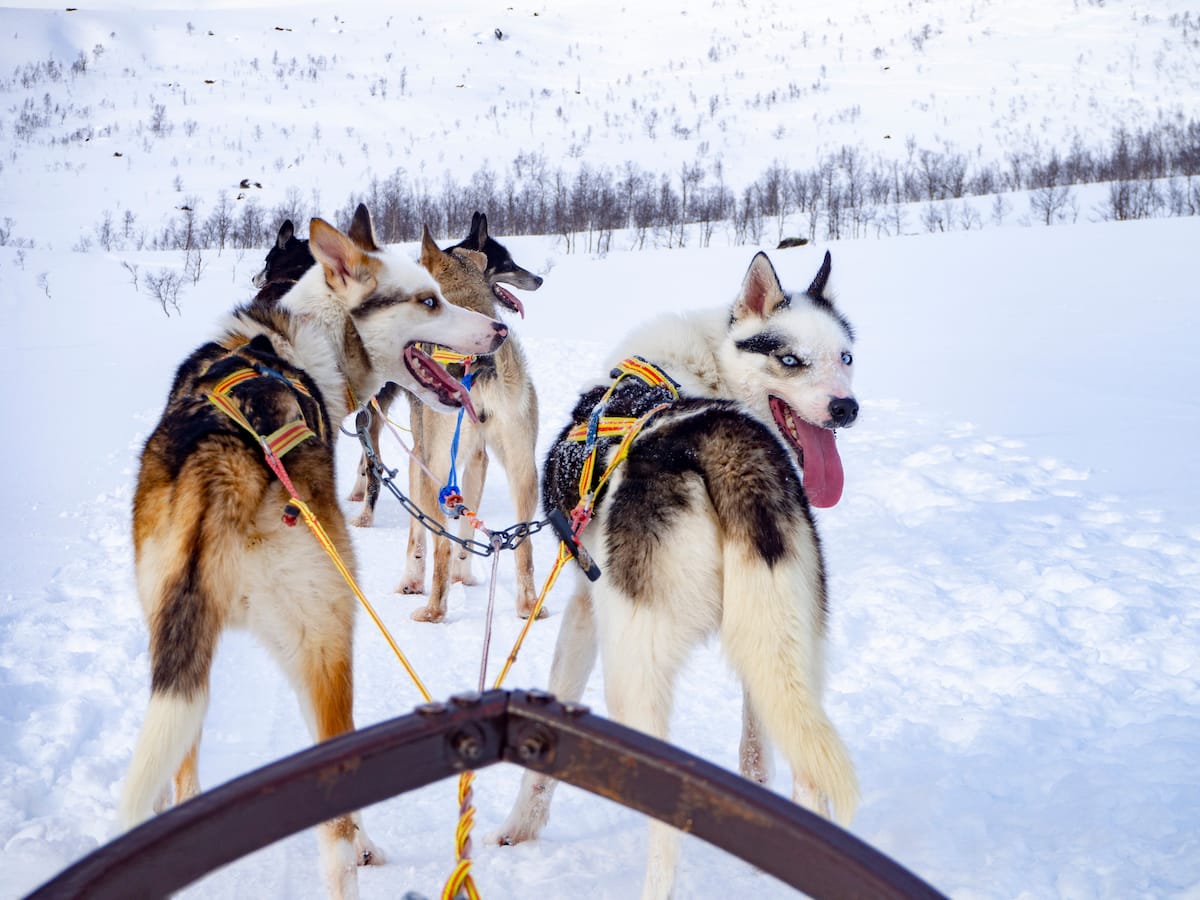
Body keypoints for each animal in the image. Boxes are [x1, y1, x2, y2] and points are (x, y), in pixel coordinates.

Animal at [124, 206, 508, 900]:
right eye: (429, 301)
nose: (499, 330)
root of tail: (223, 465)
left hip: (182, 657)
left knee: (183, 775)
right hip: (329, 639)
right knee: (335, 831)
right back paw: (359, 848)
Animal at [396, 229, 542, 624]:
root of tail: (481, 366)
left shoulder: (420, 456)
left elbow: (418, 536)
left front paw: (410, 581)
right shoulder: (479, 458)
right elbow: (467, 529)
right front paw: (466, 574)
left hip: (435, 471)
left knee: (440, 548)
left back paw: (433, 609)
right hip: (525, 471)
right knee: (524, 547)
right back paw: (528, 606)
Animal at [496, 248, 864, 900]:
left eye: (844, 357)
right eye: (791, 359)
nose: (846, 408)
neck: (703, 372)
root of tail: (723, 440)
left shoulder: (584, 609)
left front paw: (521, 825)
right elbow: (754, 754)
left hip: (633, 669)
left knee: (664, 826)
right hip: (791, 646)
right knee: (805, 770)